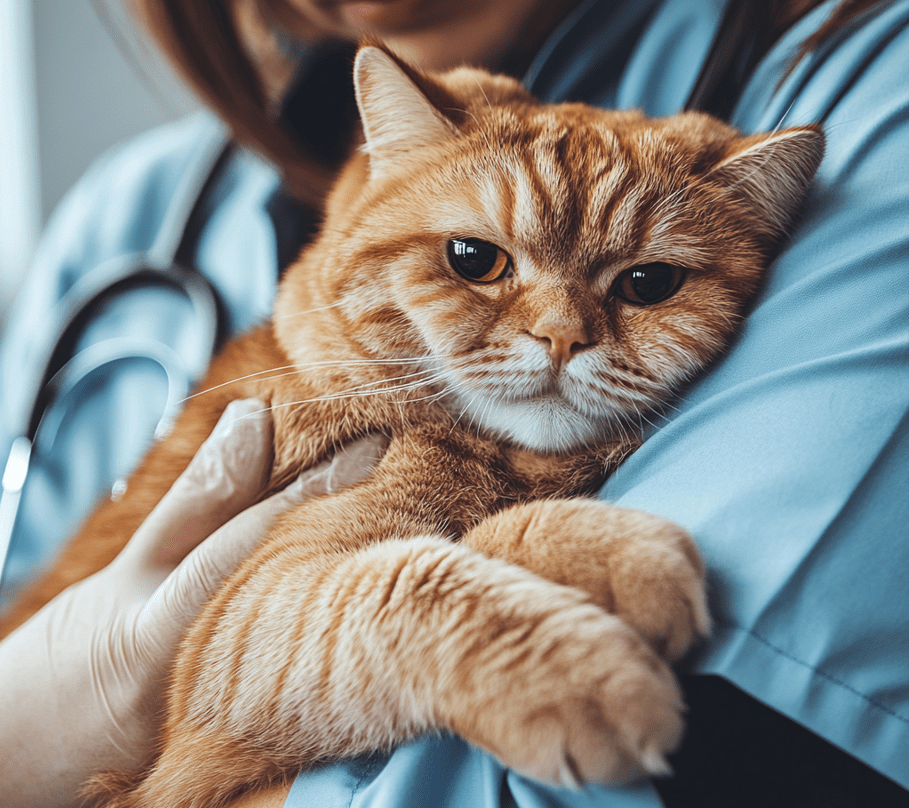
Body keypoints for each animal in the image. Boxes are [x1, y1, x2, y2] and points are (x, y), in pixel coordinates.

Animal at [0, 44, 824, 808]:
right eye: (473, 259)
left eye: (648, 283)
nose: (561, 338)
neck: (500, 459)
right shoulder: (239, 621)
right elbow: (418, 576)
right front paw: (595, 632)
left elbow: (464, 541)